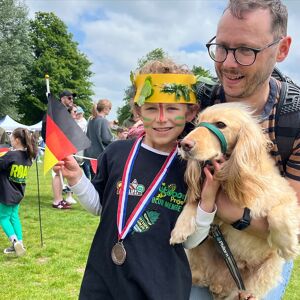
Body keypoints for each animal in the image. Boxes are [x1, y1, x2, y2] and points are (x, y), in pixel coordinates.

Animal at [170, 102, 298, 298]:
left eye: (221, 124)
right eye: (198, 123)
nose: (183, 144)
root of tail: (218, 285)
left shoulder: (286, 196)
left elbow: (278, 214)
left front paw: (288, 245)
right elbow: (194, 203)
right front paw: (180, 227)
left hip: (265, 272)